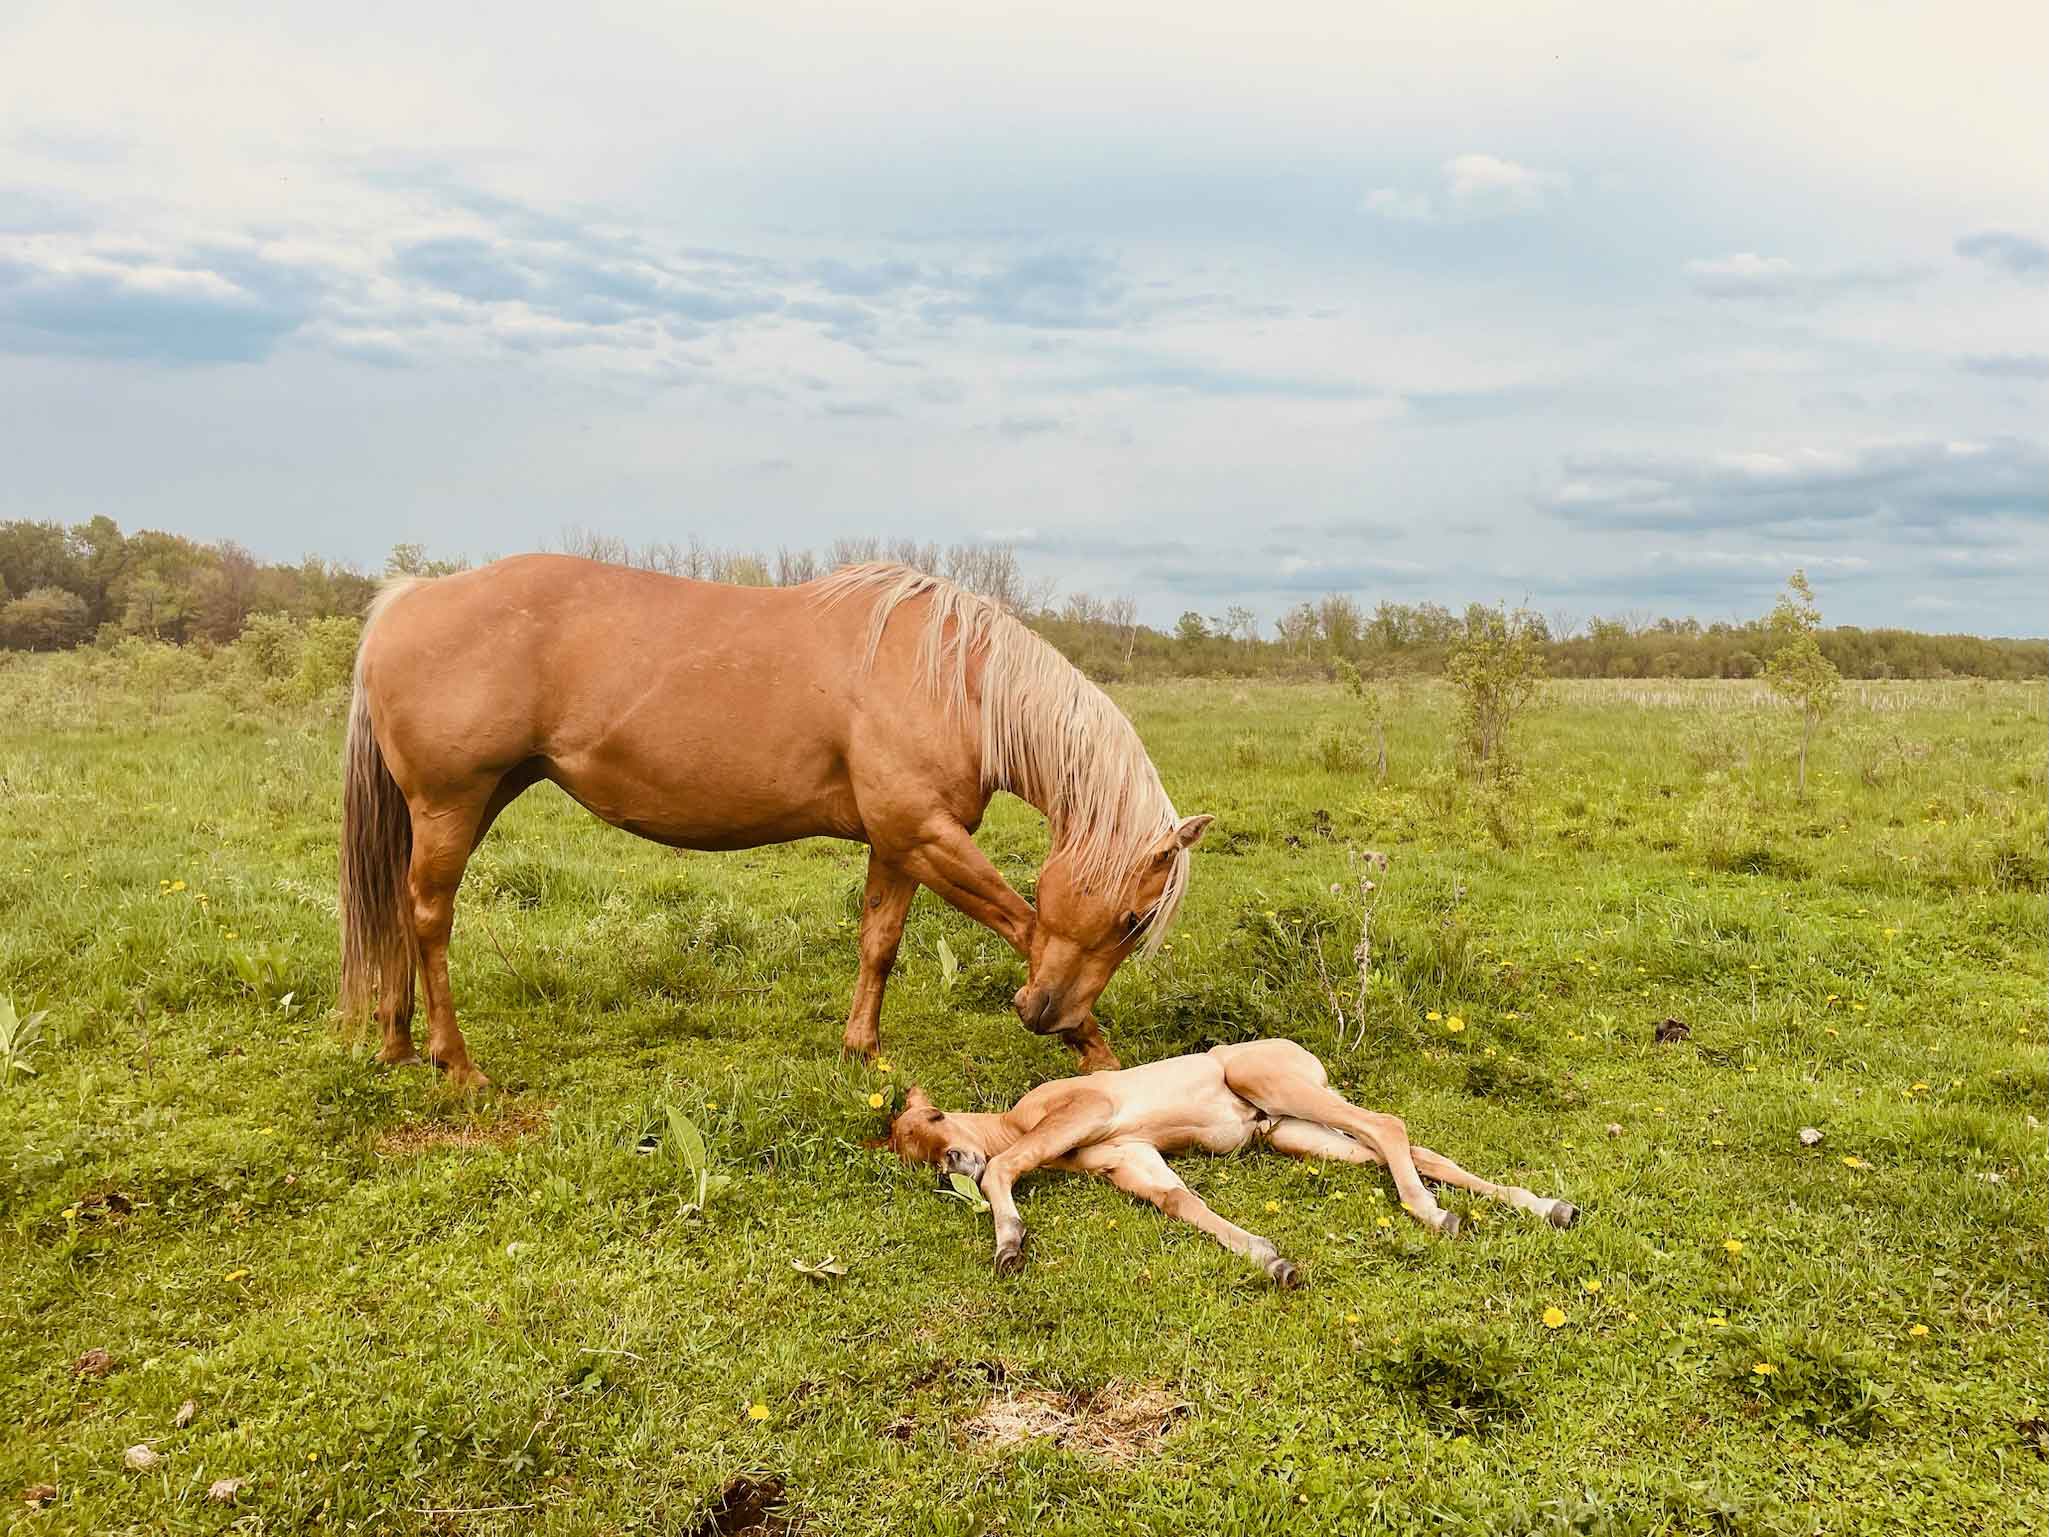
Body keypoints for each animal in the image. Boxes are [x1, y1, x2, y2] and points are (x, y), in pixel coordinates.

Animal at [338, 555, 1210, 1088]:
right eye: (1132, 919)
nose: (1042, 1012)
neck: (953, 678)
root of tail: (409, 598)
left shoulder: (899, 842)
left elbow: (879, 942)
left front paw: (863, 1048)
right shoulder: (926, 834)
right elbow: (1025, 925)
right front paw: (1096, 1051)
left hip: (469, 802)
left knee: (401, 914)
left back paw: (396, 1041)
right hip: (453, 803)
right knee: (429, 917)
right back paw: (456, 1063)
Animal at [886, 1038, 1579, 1286]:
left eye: (937, 1118)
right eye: (913, 1153)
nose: (955, 1161)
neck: (1014, 1117)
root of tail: (1301, 1053)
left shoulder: (1083, 1110)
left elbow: (1007, 1166)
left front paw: (1009, 1244)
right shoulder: (1128, 1157)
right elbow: (1180, 1200)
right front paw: (1273, 1261)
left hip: (1276, 1088)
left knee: (1390, 1125)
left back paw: (1433, 1215)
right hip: (1295, 1134)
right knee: (1401, 1146)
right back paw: (1541, 1208)